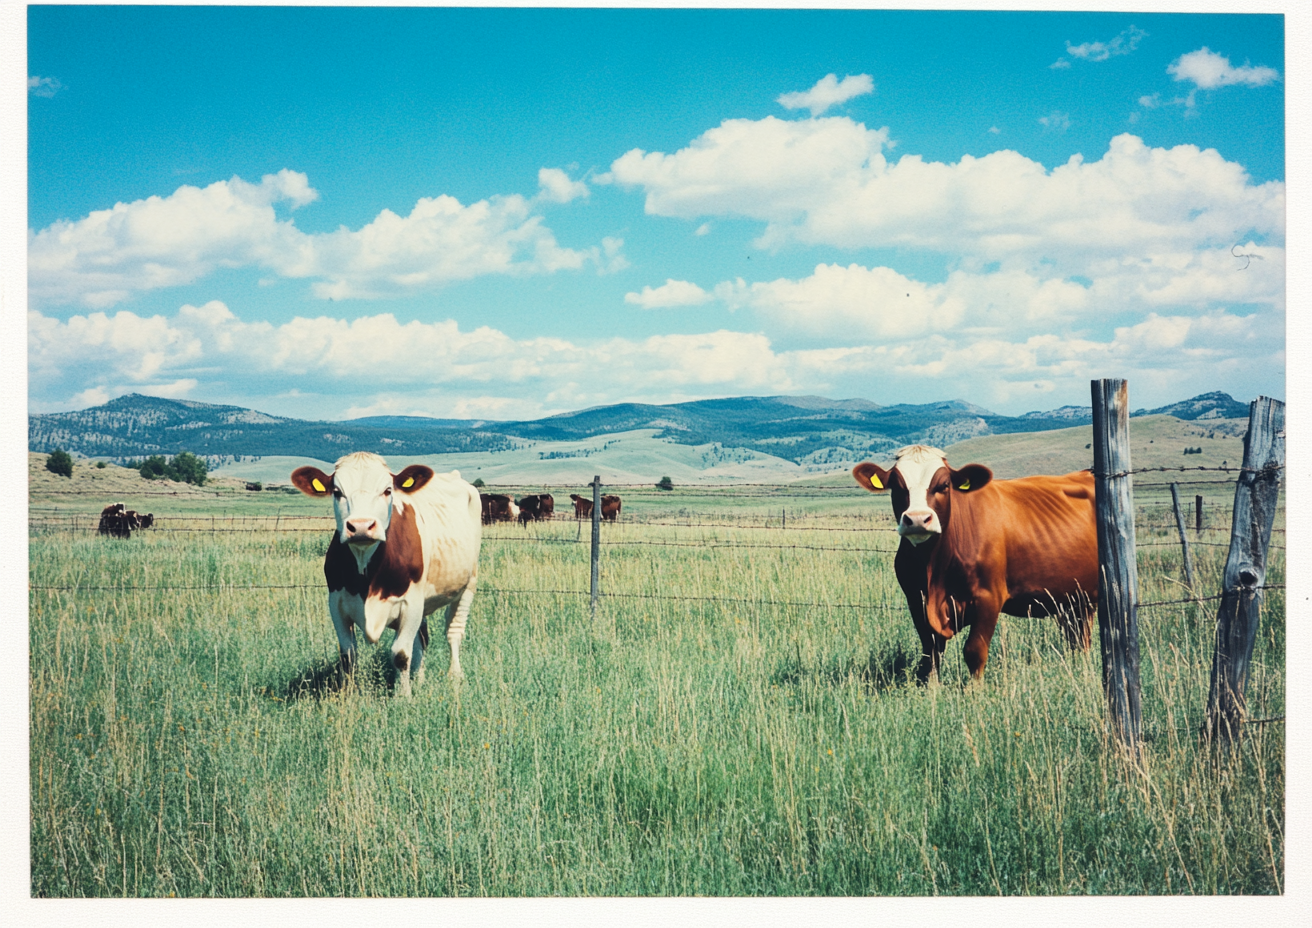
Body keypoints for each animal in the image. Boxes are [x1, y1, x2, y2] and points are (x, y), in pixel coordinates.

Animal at [289, 448, 485, 698]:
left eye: (387, 490)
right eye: (337, 491)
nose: (361, 526)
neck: (366, 572)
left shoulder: (411, 603)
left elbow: (400, 654)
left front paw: (403, 697)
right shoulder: (336, 603)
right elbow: (348, 654)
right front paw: (347, 694)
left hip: (468, 585)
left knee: (453, 633)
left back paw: (455, 676)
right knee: (422, 639)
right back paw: (418, 678)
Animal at [855, 446, 1102, 687]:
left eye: (944, 486)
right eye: (896, 487)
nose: (917, 519)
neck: (934, 569)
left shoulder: (989, 597)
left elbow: (974, 650)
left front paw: (974, 690)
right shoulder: (916, 599)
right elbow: (930, 650)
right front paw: (930, 687)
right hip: (1076, 598)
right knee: (1078, 638)